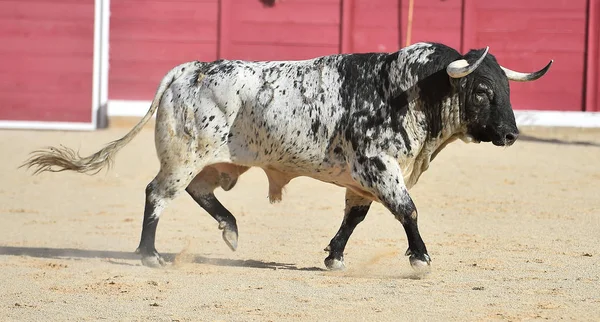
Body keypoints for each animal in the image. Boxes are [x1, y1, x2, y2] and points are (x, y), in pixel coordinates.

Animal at [23, 42, 552, 270]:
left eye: (506, 89)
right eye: (482, 91)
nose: (511, 133)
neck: (408, 90)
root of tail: (188, 68)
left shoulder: (363, 181)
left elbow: (354, 219)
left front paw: (334, 258)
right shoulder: (380, 168)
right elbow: (408, 209)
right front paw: (420, 257)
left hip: (218, 163)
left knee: (199, 193)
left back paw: (231, 231)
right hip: (183, 156)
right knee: (158, 194)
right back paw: (150, 255)